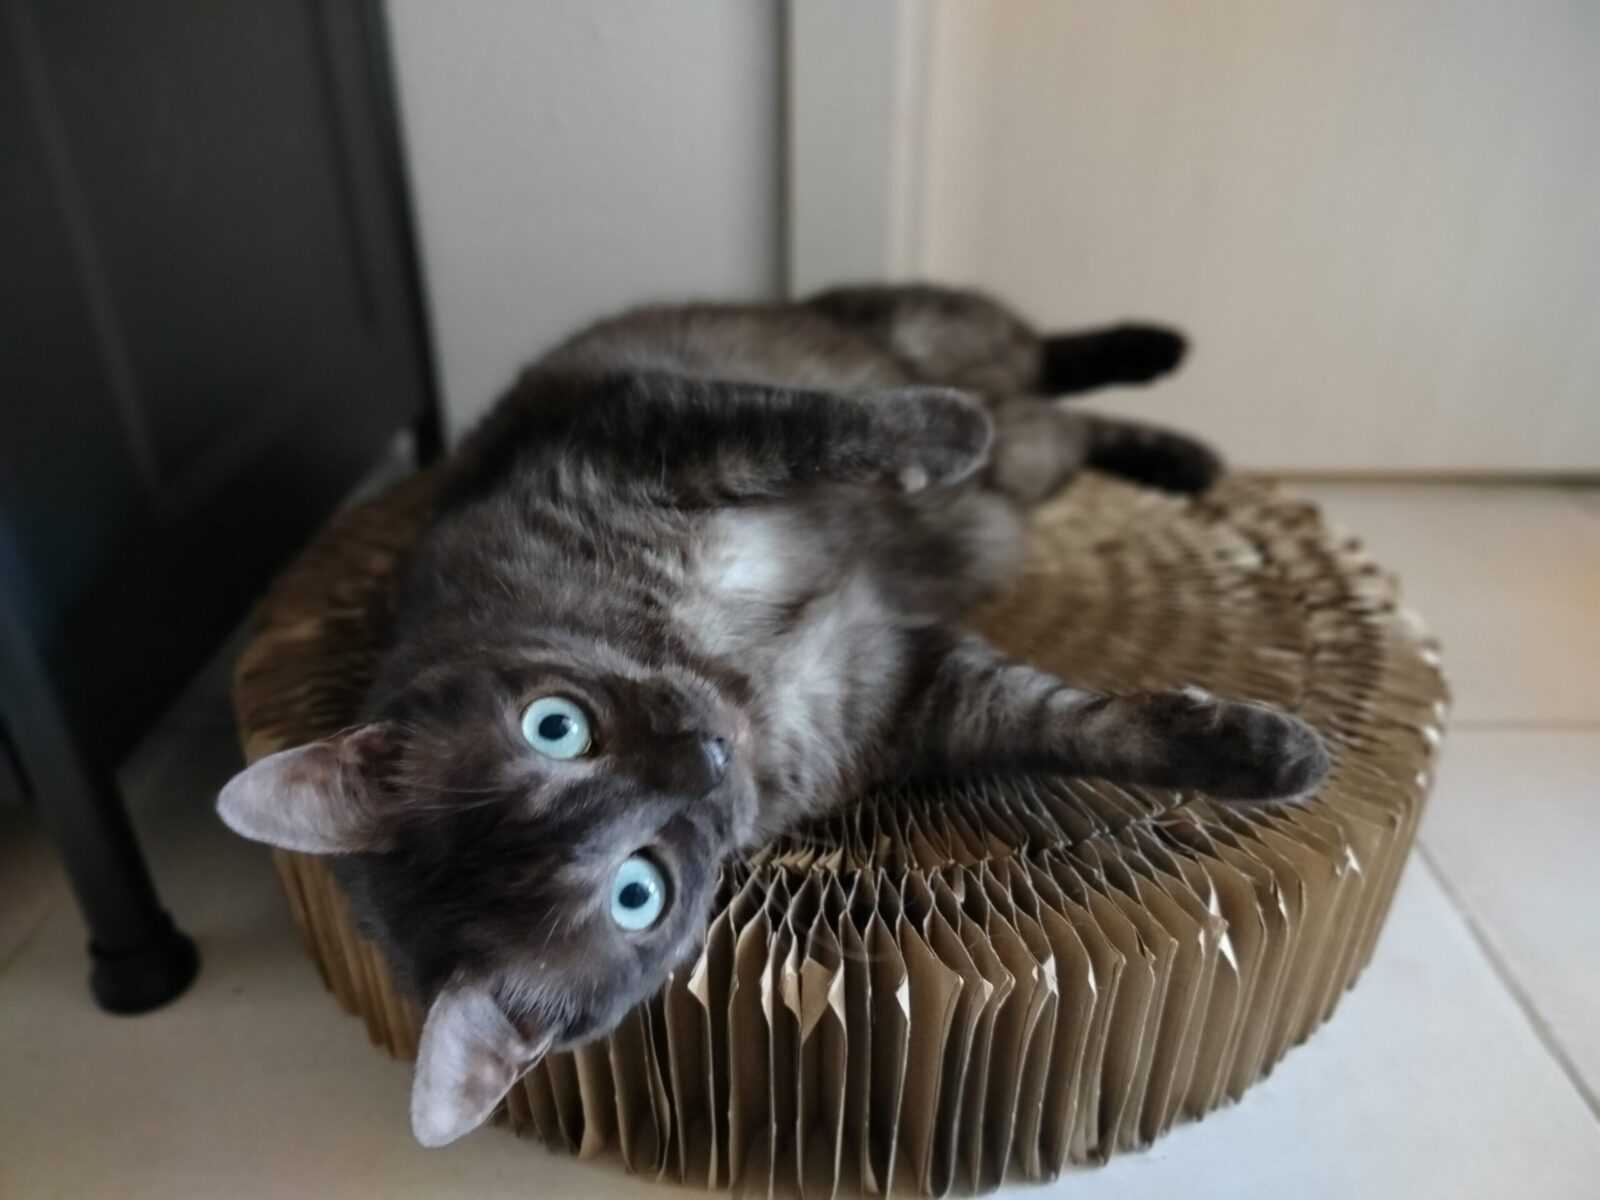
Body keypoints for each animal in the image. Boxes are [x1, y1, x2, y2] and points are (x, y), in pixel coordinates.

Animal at [217, 283, 1328, 1148]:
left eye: (554, 726)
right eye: (639, 896)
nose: (703, 756)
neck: (724, 668)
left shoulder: (648, 428)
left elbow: (829, 425)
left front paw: (1271, 754)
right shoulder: (906, 691)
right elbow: (1069, 722)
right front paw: (1268, 754)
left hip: (940, 331)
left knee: (1022, 357)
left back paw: (1146, 368)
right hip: (1031, 465)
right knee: (1055, 425)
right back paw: (1165, 451)